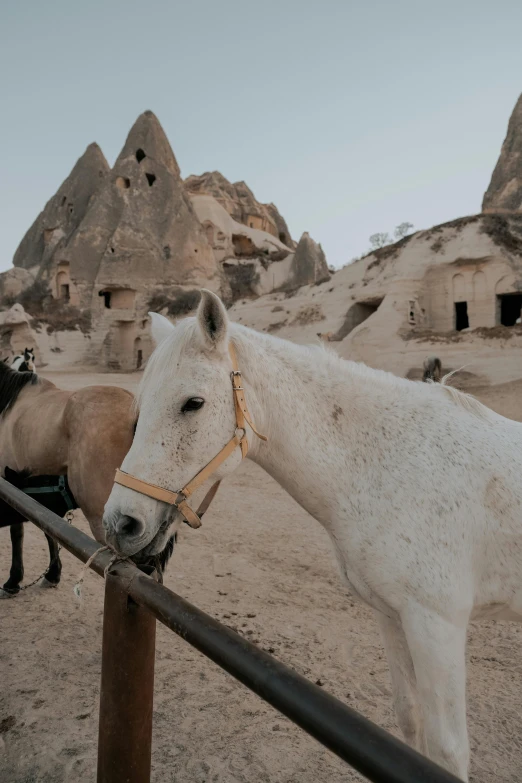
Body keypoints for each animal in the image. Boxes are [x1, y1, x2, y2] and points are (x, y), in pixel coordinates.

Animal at [103, 290, 520, 780]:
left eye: (193, 403)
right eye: (141, 406)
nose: (120, 523)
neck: (392, 464)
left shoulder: (437, 625)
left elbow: (448, 751)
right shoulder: (392, 616)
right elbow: (409, 718)